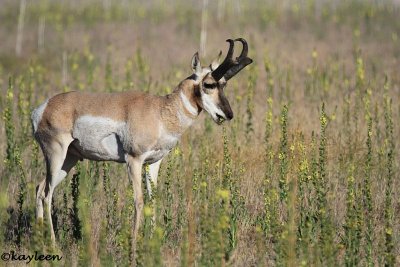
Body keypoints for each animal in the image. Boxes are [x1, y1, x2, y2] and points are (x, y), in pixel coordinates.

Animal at [31, 38, 252, 246]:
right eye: (209, 84)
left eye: (223, 84)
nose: (228, 114)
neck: (160, 110)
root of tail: (43, 107)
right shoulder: (133, 160)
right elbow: (138, 201)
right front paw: (135, 243)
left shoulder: (153, 163)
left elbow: (152, 200)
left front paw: (153, 241)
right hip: (56, 155)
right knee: (47, 194)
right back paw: (53, 244)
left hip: (69, 160)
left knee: (40, 189)